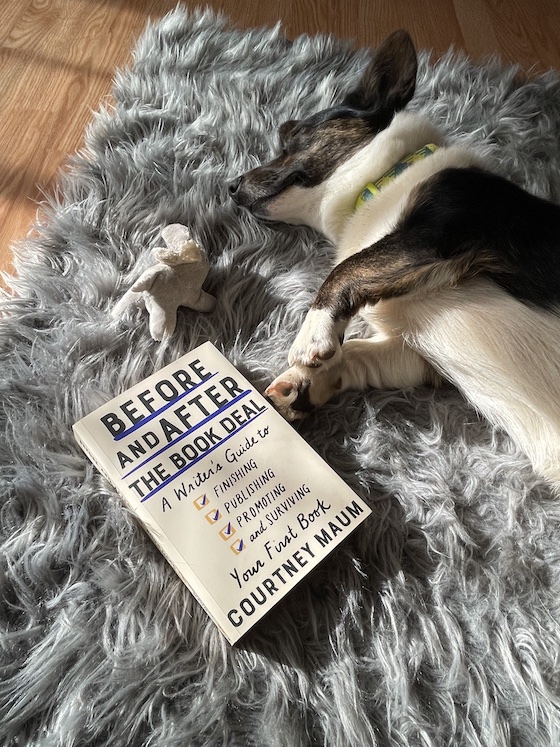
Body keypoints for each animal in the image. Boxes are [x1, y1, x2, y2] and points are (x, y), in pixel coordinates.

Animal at [230, 29, 560, 488]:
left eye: (291, 138)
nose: (231, 185)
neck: (381, 182)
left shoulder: (434, 237)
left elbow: (345, 268)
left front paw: (311, 336)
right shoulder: (417, 358)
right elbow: (356, 353)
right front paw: (303, 385)